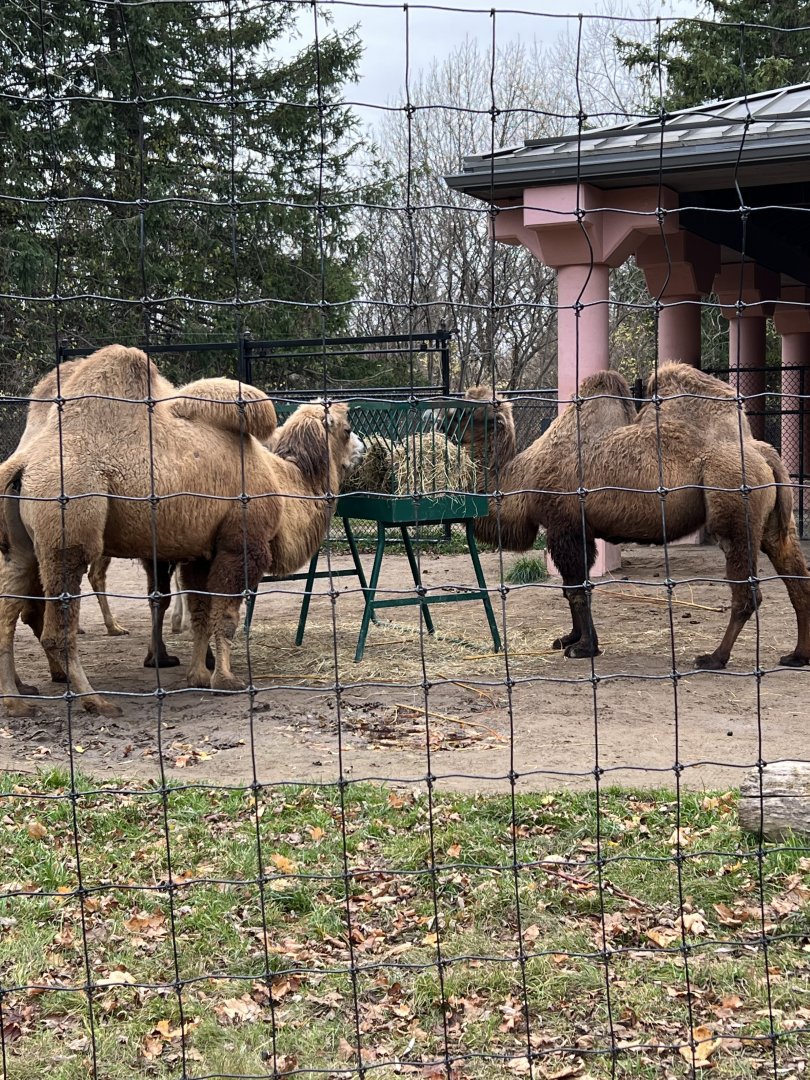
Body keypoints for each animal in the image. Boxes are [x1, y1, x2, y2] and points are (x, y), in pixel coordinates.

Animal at [0, 345, 363, 717]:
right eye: (347, 428)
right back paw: (94, 699)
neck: (283, 481)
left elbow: (201, 612)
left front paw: (198, 674)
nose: (363, 450)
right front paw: (226, 680)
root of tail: (23, 464)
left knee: (8, 611)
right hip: (69, 525)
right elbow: (225, 616)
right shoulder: (241, 546)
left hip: (21, 547)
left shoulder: (201, 551)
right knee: (57, 625)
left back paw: (16, 699)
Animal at [456, 363, 810, 670]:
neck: (522, 477)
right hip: (772, 520)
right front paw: (570, 639)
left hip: (734, 506)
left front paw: (584, 648)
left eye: (466, 411)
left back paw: (714, 658)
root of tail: (761, 452)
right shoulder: (579, 529)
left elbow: (576, 588)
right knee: (794, 574)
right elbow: (574, 587)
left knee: (747, 591)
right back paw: (797, 655)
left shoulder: (564, 524)